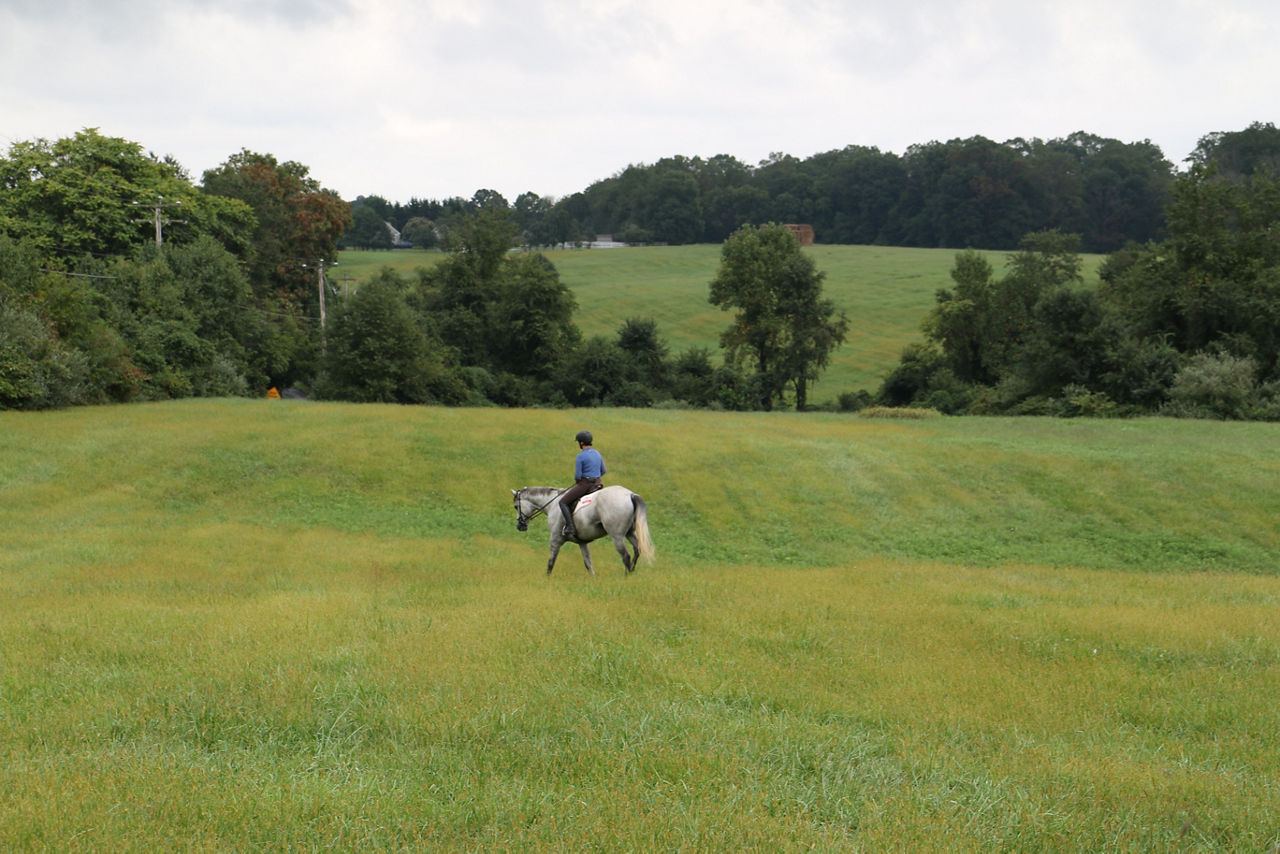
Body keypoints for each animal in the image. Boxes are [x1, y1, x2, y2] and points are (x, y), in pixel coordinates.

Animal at [509, 483, 655, 578]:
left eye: (516, 506)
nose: (519, 526)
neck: (552, 504)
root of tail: (630, 494)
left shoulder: (555, 539)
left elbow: (551, 561)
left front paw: (547, 579)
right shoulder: (583, 542)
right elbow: (588, 563)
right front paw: (593, 579)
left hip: (617, 536)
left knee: (626, 555)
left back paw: (626, 577)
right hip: (630, 533)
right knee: (637, 550)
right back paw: (632, 573)